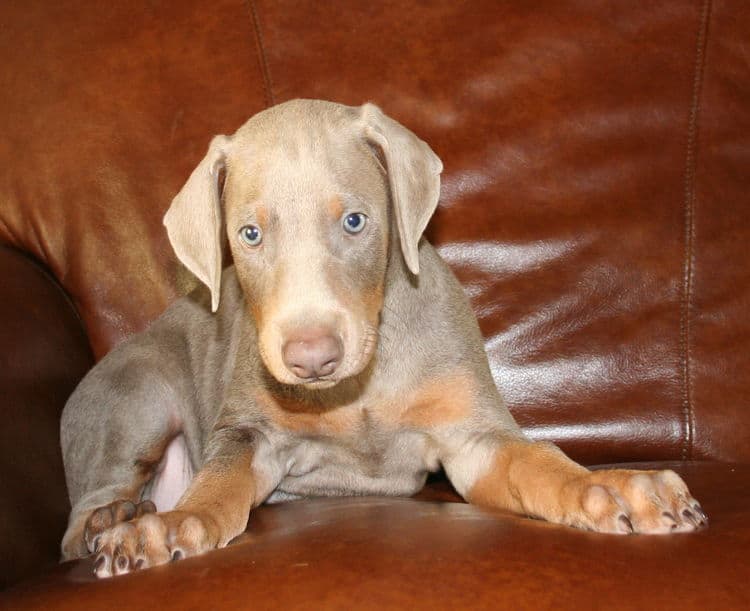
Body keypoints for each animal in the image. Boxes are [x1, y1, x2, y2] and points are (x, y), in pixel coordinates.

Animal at [60, 99, 712, 580]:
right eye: (249, 234)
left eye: (355, 221)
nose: (312, 359)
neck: (359, 386)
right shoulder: (252, 432)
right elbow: (220, 479)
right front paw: (176, 523)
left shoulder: (472, 440)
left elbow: (538, 460)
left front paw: (611, 487)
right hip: (135, 394)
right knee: (78, 521)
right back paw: (120, 516)